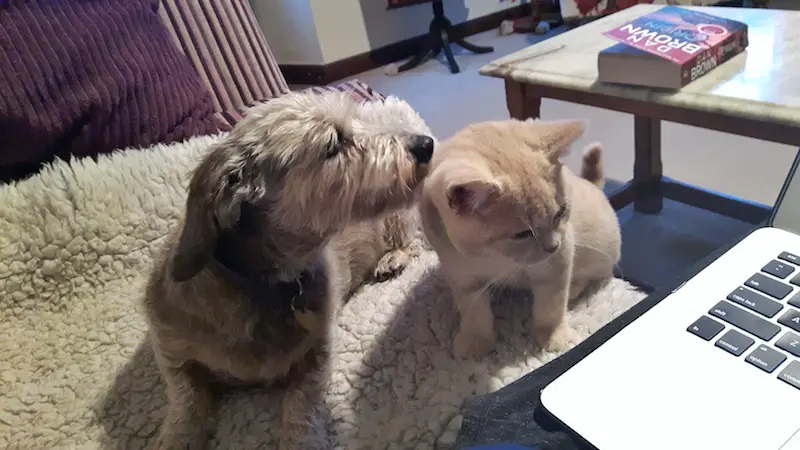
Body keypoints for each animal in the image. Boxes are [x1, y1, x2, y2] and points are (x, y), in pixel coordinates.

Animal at [141, 92, 434, 450]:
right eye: (334, 143)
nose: (426, 145)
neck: (263, 285)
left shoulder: (317, 353)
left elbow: (299, 406)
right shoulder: (171, 351)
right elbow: (185, 401)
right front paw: (178, 437)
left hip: (400, 219)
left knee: (413, 239)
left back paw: (394, 257)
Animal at [422, 118, 620, 356]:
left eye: (560, 213)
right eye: (522, 233)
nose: (552, 246)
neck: (492, 257)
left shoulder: (558, 261)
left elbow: (552, 305)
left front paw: (554, 336)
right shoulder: (459, 274)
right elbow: (473, 310)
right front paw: (476, 341)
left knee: (594, 275)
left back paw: (574, 287)